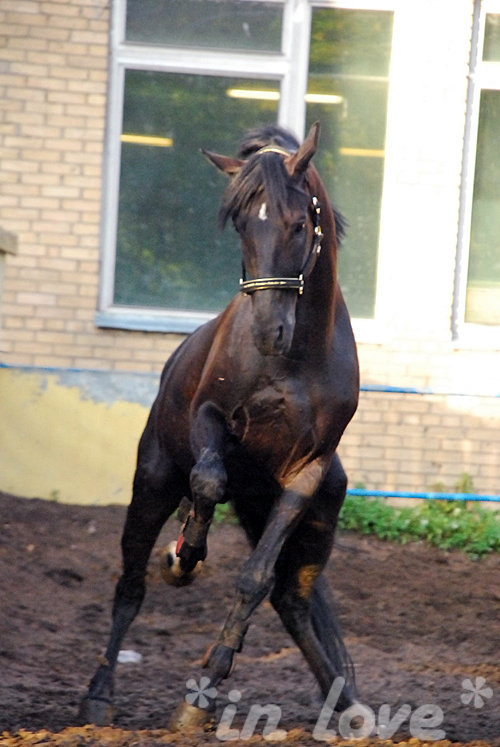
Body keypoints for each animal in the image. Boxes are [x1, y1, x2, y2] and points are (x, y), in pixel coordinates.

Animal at [79, 122, 360, 732]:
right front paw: (184, 557)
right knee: (130, 585)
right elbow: (208, 482)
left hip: (313, 516)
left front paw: (203, 688)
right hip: (152, 484)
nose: (267, 330)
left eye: (298, 224)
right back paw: (98, 694)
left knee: (294, 599)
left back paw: (349, 705)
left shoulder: (307, 474)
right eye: (241, 223)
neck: (295, 359)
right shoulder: (210, 419)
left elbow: (255, 579)